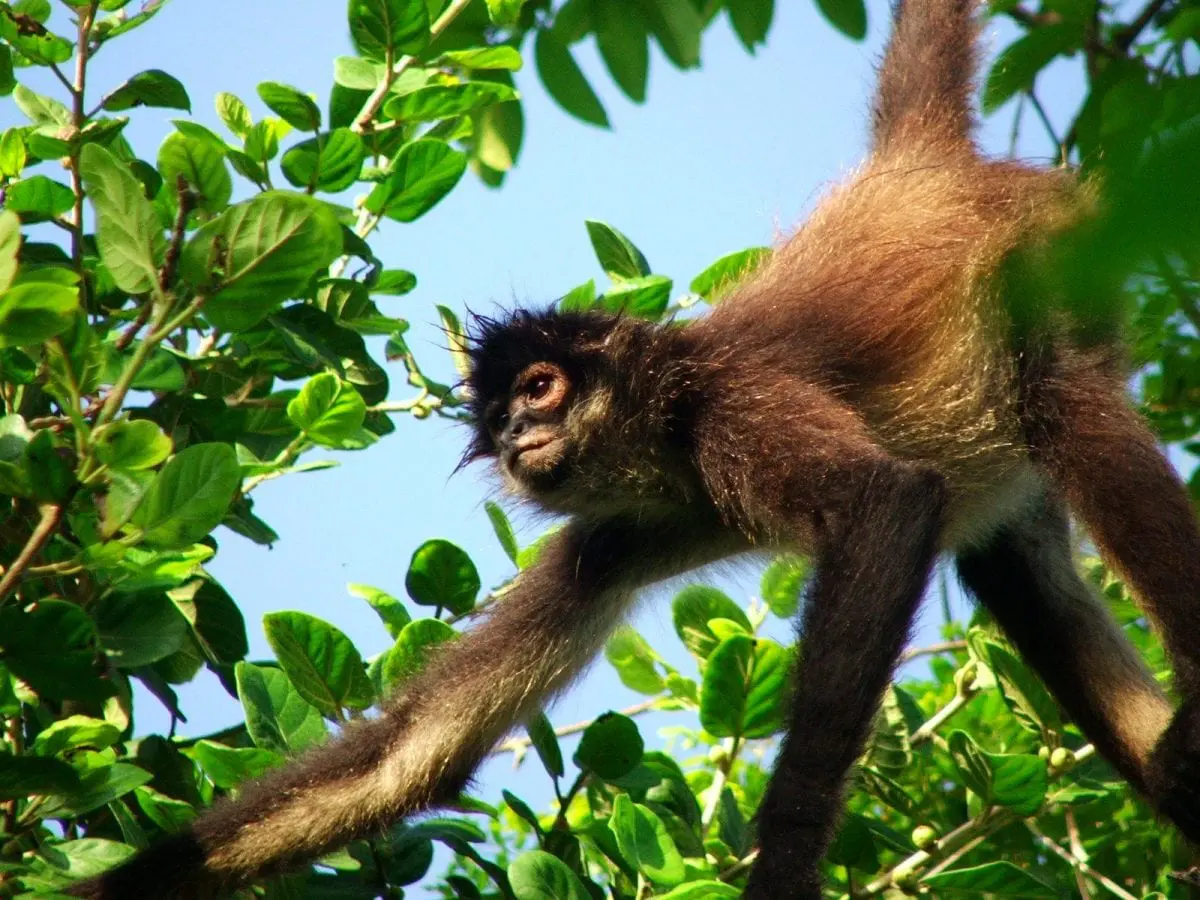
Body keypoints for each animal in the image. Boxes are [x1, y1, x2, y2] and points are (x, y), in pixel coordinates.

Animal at [68, 1, 1200, 900]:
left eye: (540, 387)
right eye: (498, 416)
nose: (520, 434)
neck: (670, 452)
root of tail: (919, 168)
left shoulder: (730, 413)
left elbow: (884, 502)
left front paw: (784, 868)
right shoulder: (609, 538)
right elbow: (407, 760)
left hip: (1055, 262)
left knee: (1065, 402)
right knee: (1018, 565)